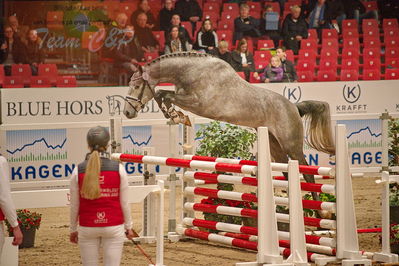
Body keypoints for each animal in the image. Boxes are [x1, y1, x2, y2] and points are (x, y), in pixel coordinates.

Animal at [123, 52, 336, 187]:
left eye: (136, 86)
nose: (127, 113)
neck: (192, 71)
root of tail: (293, 107)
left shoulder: (198, 103)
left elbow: (164, 94)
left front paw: (176, 116)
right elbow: (162, 94)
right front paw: (174, 116)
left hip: (291, 145)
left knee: (308, 172)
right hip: (275, 145)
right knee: (285, 170)